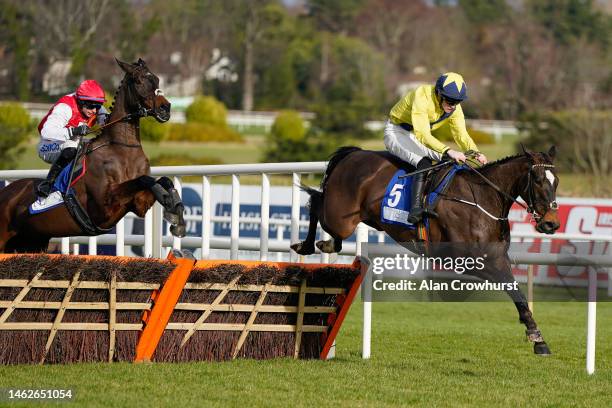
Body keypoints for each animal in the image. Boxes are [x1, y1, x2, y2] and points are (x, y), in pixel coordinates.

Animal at [0, 59, 186, 253]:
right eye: (138, 80)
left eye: (156, 79)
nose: (165, 108)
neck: (122, 151)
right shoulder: (103, 207)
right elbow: (144, 180)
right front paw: (170, 205)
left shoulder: (138, 204)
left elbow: (161, 181)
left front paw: (175, 210)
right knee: (67, 149)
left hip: (32, 242)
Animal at [292, 146, 560, 354]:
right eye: (537, 180)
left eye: (556, 181)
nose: (551, 223)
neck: (483, 199)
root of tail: (353, 153)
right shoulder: (470, 260)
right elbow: (511, 288)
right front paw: (535, 336)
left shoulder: (494, 258)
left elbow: (515, 291)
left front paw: (536, 336)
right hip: (340, 218)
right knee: (316, 201)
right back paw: (308, 244)